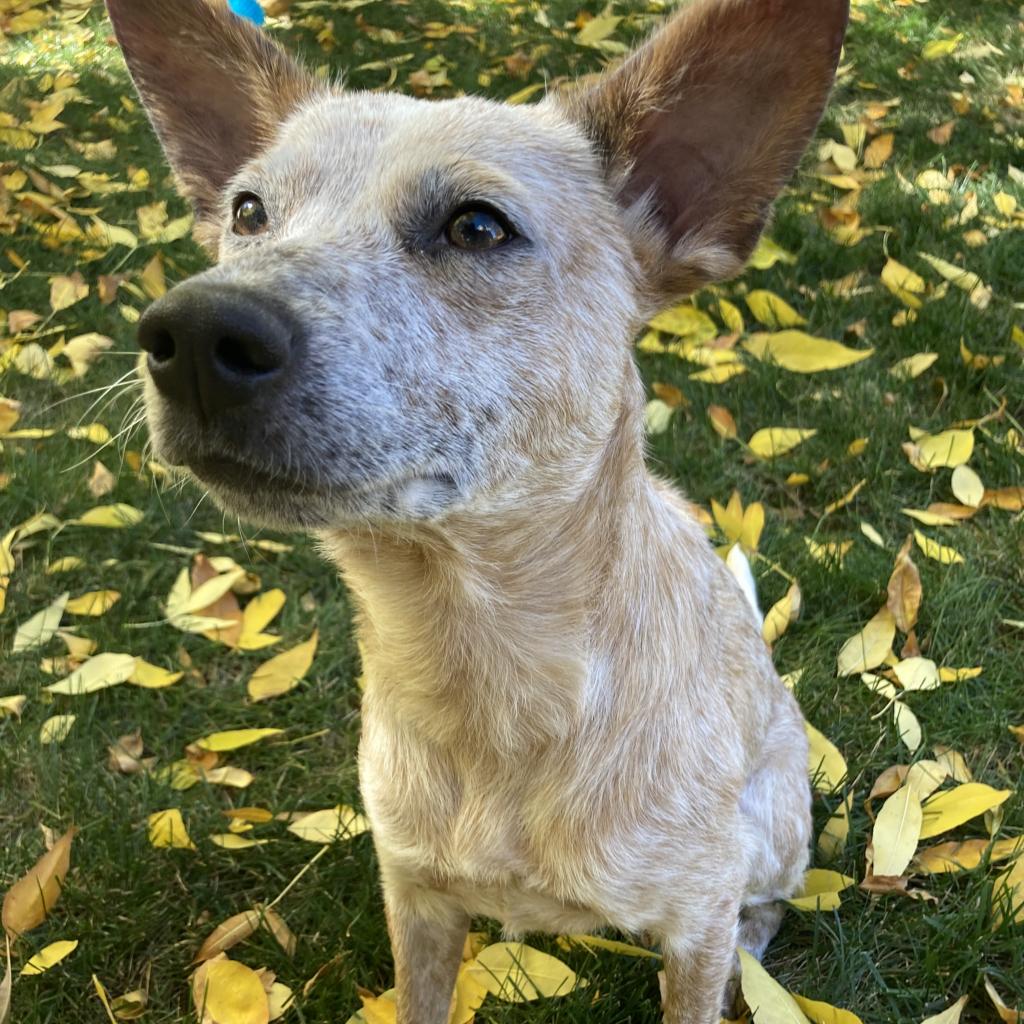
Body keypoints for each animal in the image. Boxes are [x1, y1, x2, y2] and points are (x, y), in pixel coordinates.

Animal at [108, 4, 847, 1019]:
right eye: (247, 210)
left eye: (477, 225)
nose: (189, 333)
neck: (483, 683)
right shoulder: (414, 898)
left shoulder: (693, 925)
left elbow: (706, 953)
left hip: (773, 822)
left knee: (767, 899)